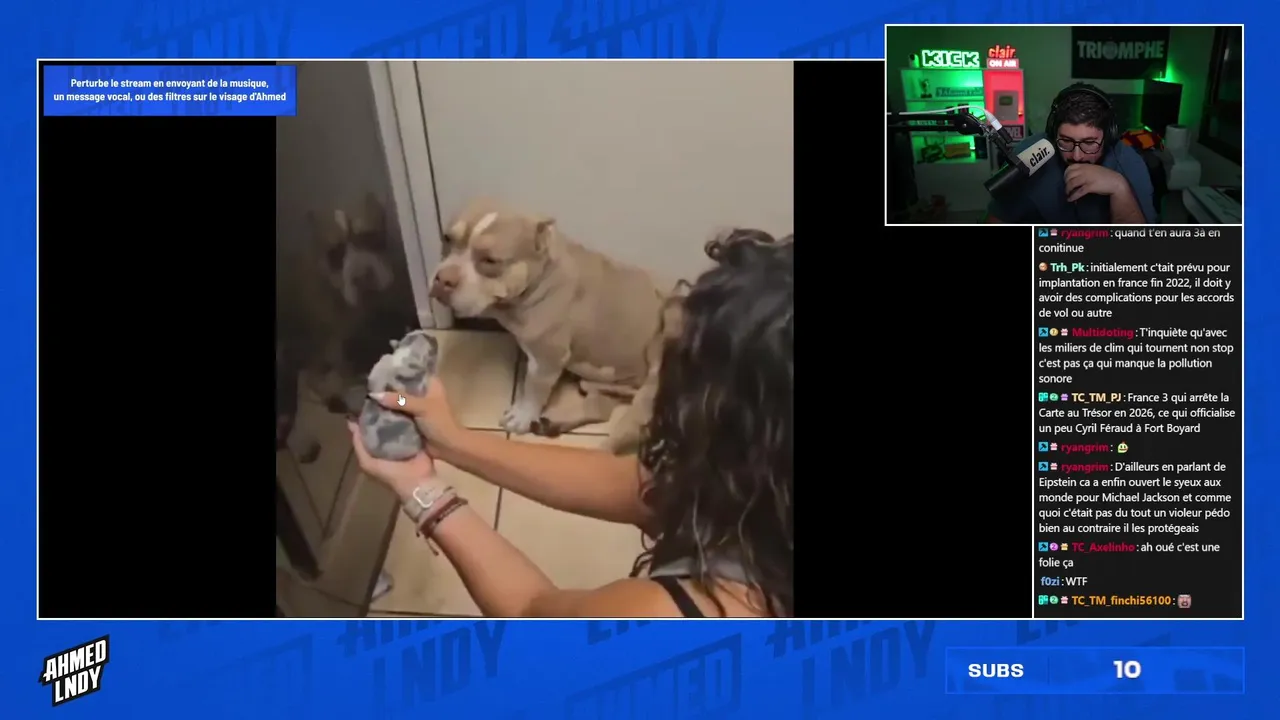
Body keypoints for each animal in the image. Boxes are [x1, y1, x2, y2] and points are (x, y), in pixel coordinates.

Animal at [431, 198, 666, 438]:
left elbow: (534, 389)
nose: (442, 279)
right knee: (600, 406)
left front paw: (522, 416)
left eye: (490, 260)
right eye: (447, 238)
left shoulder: (547, 360)